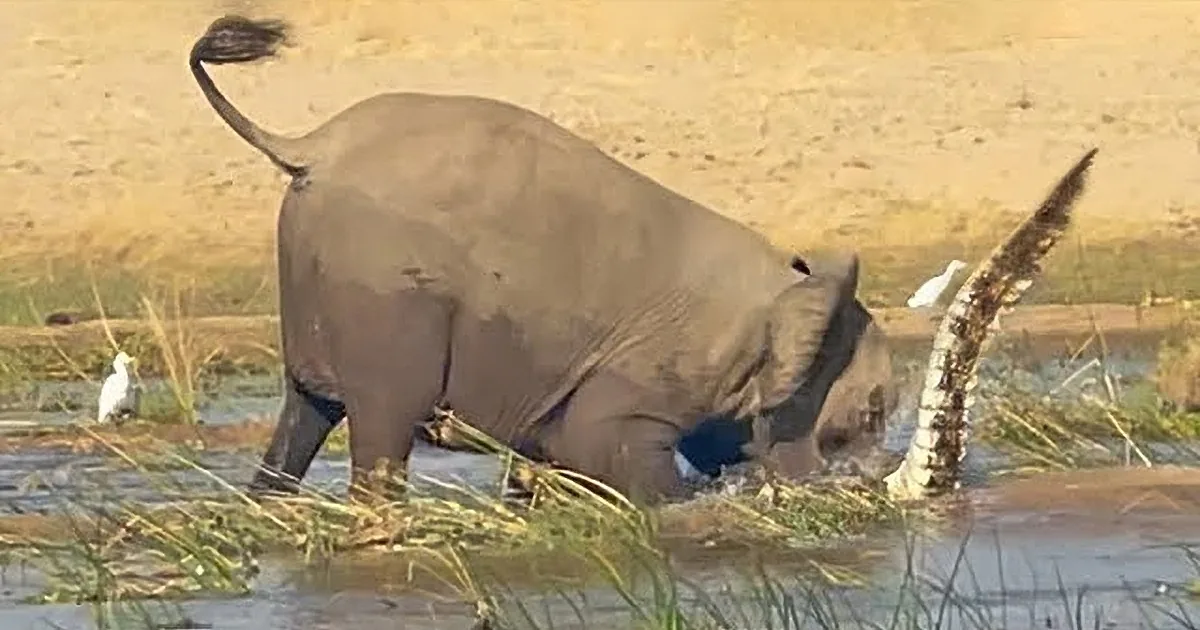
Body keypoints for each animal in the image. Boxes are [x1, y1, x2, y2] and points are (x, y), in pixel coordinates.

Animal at [187, 16, 900, 506]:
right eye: (867, 416)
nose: (869, 487)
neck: (784, 291)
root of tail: (309, 145)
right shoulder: (654, 369)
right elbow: (600, 443)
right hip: (387, 293)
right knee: (382, 426)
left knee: (303, 415)